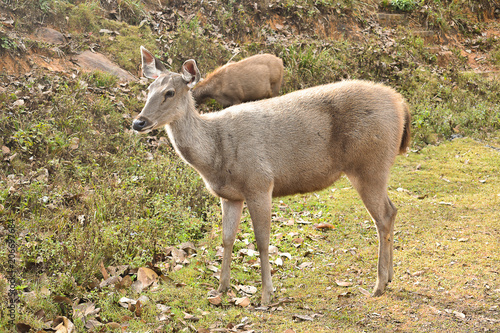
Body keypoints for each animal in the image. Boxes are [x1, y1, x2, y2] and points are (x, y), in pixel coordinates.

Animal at [132, 46, 410, 304]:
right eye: (149, 89)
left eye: (170, 92)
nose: (138, 122)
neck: (215, 154)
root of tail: (401, 103)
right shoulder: (229, 196)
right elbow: (227, 239)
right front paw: (221, 288)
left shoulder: (260, 183)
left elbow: (262, 241)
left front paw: (266, 294)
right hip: (375, 168)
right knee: (393, 210)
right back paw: (390, 277)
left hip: (369, 164)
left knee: (382, 217)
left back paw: (378, 285)